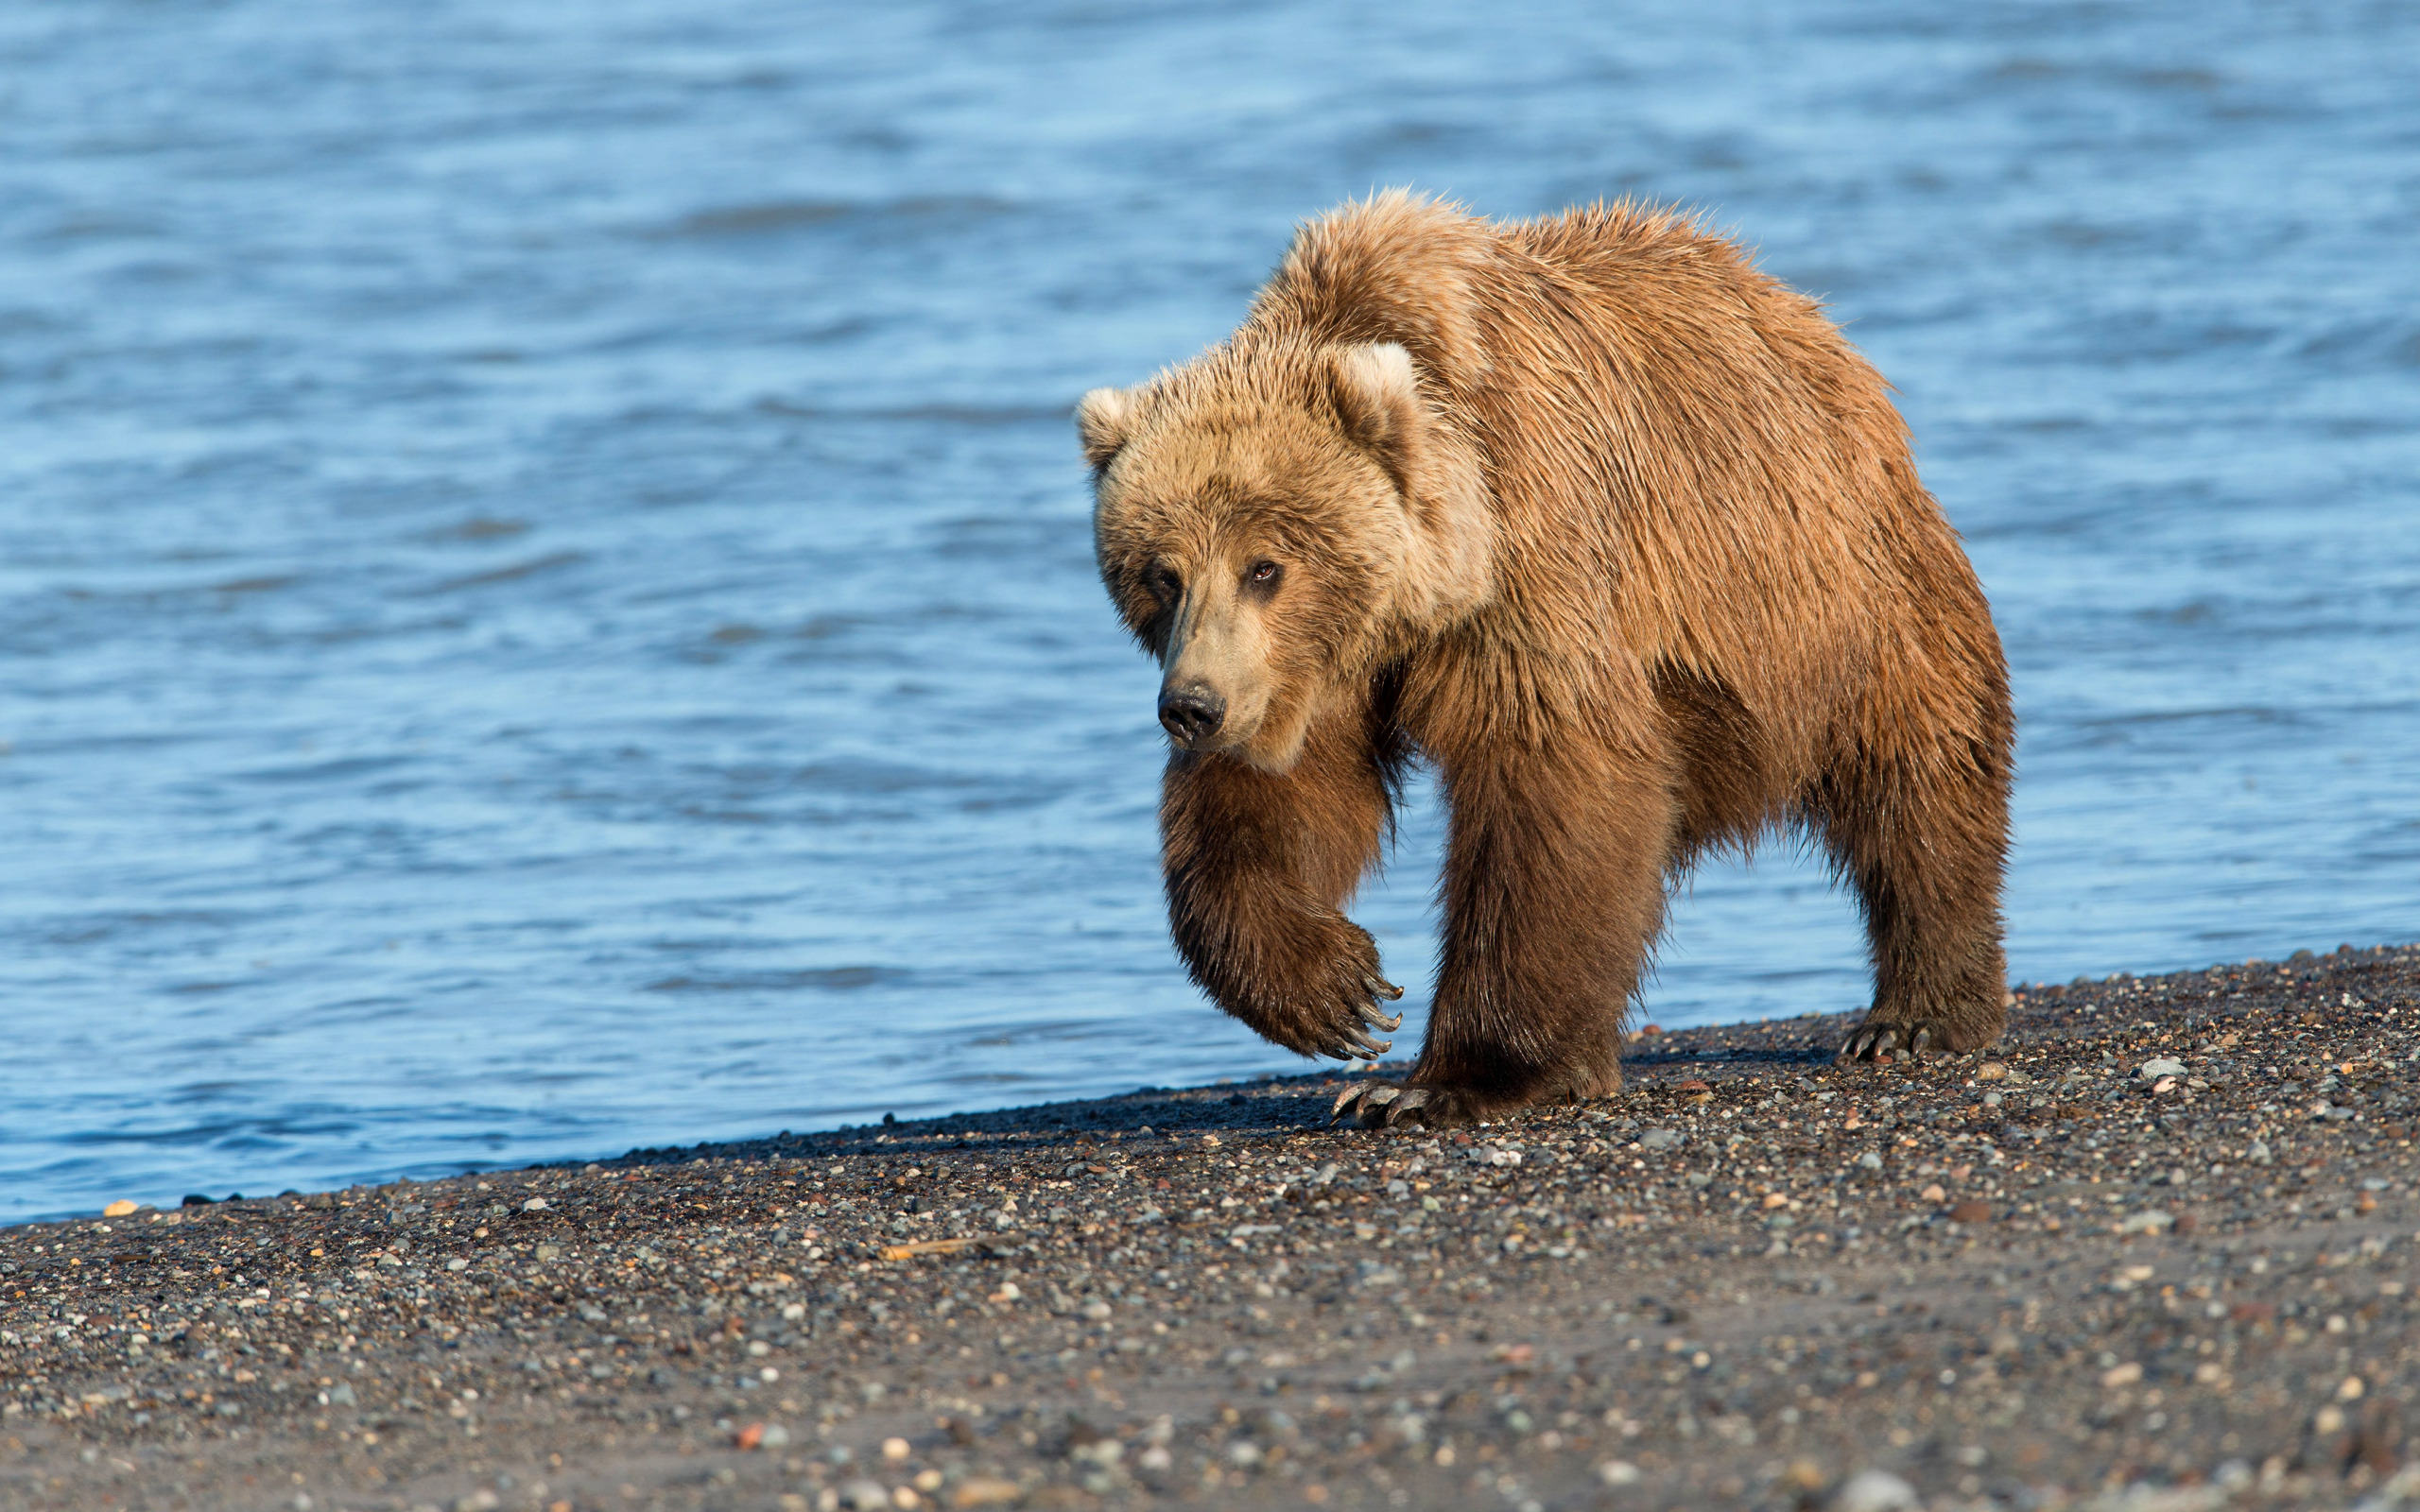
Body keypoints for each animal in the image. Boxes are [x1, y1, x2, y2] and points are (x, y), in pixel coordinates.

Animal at [1074, 188, 2003, 1126]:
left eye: (1265, 567)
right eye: (1161, 573)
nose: (1191, 706)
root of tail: (1817, 330)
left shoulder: (1539, 562)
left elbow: (1553, 789)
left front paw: (1445, 1081)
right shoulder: (1312, 668)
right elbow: (1278, 795)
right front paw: (1338, 991)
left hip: (1842, 595)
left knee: (1919, 776)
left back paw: (1915, 1015)